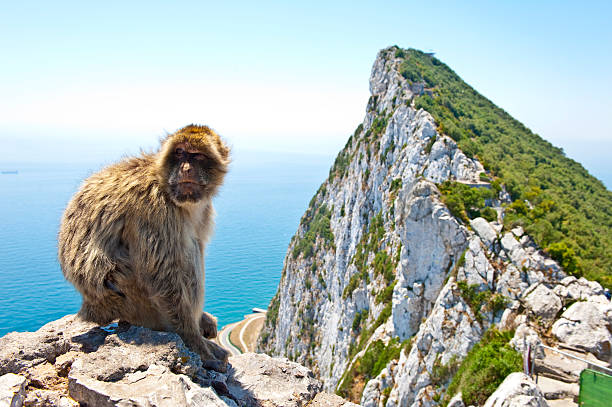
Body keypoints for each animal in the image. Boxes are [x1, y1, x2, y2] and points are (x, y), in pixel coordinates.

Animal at [59, 124, 230, 372]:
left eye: (197, 155)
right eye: (179, 153)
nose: (186, 169)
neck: (164, 184)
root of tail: (90, 306)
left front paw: (201, 323)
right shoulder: (154, 208)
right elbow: (162, 277)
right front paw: (195, 342)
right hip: (129, 299)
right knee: (183, 254)